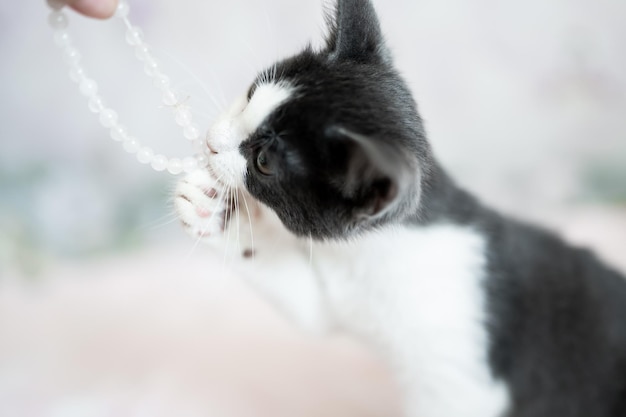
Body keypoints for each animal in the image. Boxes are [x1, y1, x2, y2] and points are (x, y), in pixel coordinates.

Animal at [173, 1, 624, 414]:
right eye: (251, 93)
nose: (212, 140)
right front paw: (214, 213)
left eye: (263, 161)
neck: (383, 246)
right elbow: (310, 308)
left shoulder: (460, 385)